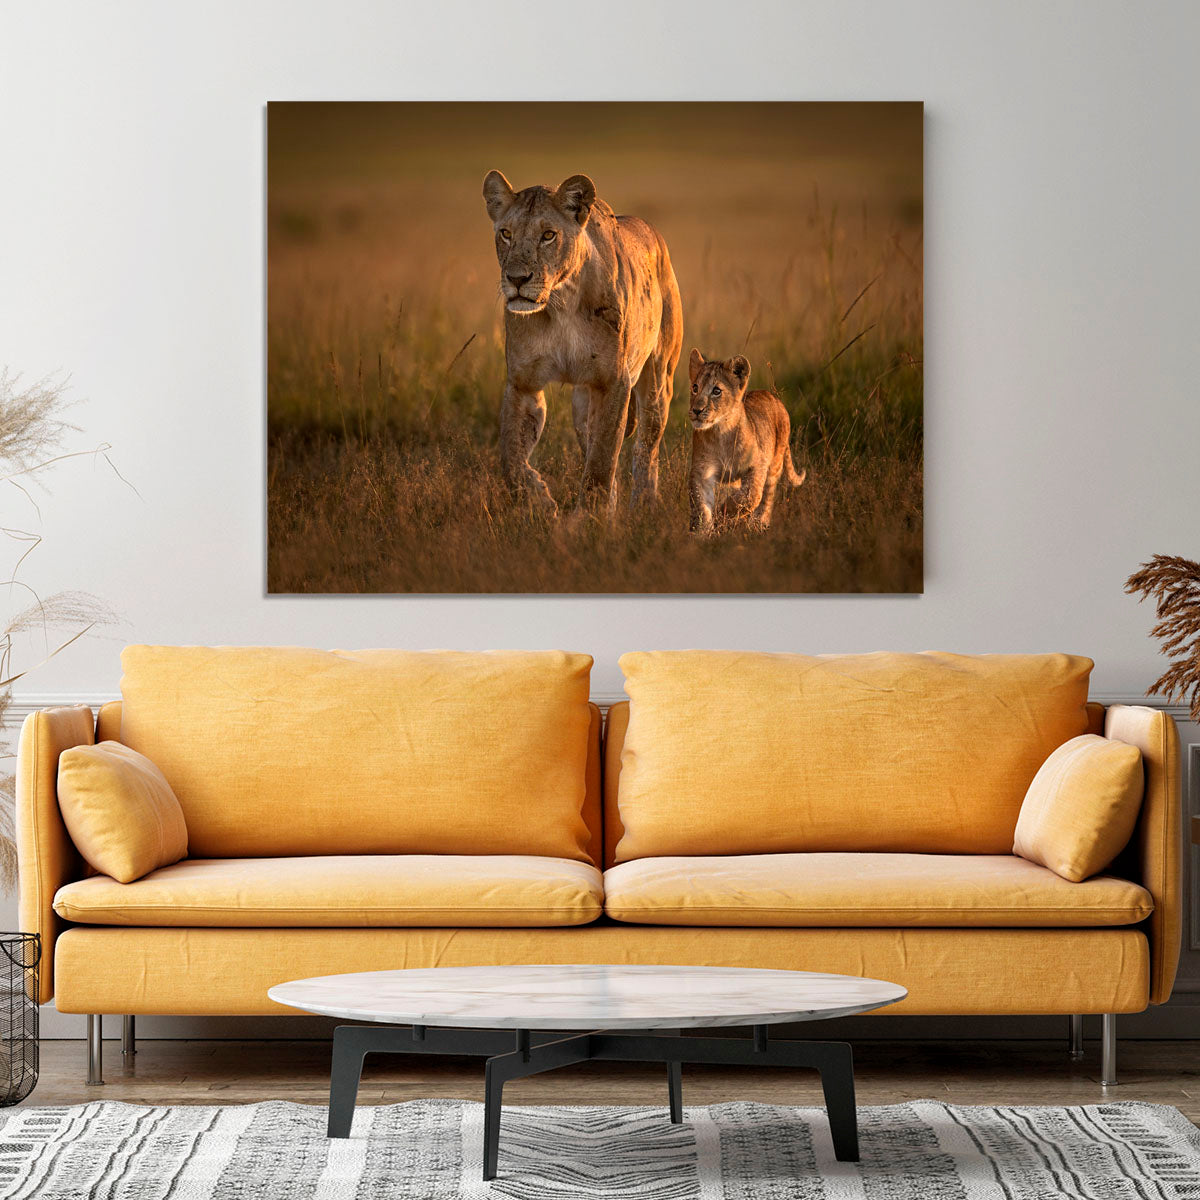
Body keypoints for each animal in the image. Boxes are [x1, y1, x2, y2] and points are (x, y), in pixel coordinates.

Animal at [482, 170, 683, 515]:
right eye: (506, 234)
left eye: (548, 235)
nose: (517, 279)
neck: (561, 302)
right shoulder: (523, 384)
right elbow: (511, 458)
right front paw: (539, 501)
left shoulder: (613, 382)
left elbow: (602, 460)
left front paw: (590, 519)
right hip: (582, 403)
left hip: (658, 380)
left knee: (646, 447)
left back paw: (644, 505)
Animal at [687, 349, 806, 532]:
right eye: (695, 387)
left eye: (716, 391)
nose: (697, 410)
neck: (721, 432)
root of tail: (773, 397)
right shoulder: (702, 470)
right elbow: (701, 505)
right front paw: (702, 532)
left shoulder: (758, 465)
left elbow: (751, 495)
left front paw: (723, 511)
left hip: (775, 463)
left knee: (767, 498)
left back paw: (758, 524)